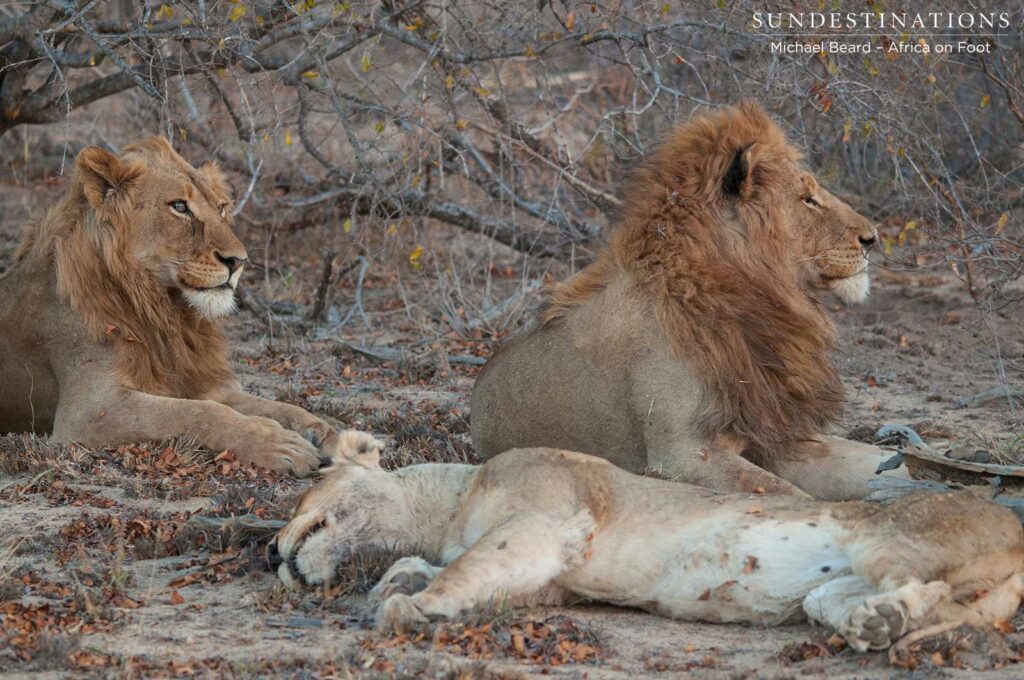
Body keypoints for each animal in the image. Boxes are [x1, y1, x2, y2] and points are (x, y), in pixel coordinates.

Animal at [0, 138, 350, 474]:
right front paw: (277, 443)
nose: (239, 261)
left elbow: (278, 406)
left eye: (221, 208)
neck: (167, 313)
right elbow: (200, 413)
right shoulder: (88, 411)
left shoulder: (205, 383)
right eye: (180, 206)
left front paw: (330, 435)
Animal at [274, 437, 1024, 655]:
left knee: (930, 590)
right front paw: (398, 580)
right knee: (882, 606)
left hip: (888, 536)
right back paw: (873, 625)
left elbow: (464, 566)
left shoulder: (545, 520)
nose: (269, 553)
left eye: (311, 479)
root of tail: (1016, 530)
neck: (450, 500)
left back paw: (891, 620)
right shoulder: (549, 576)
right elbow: (448, 568)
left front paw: (409, 607)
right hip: (826, 590)